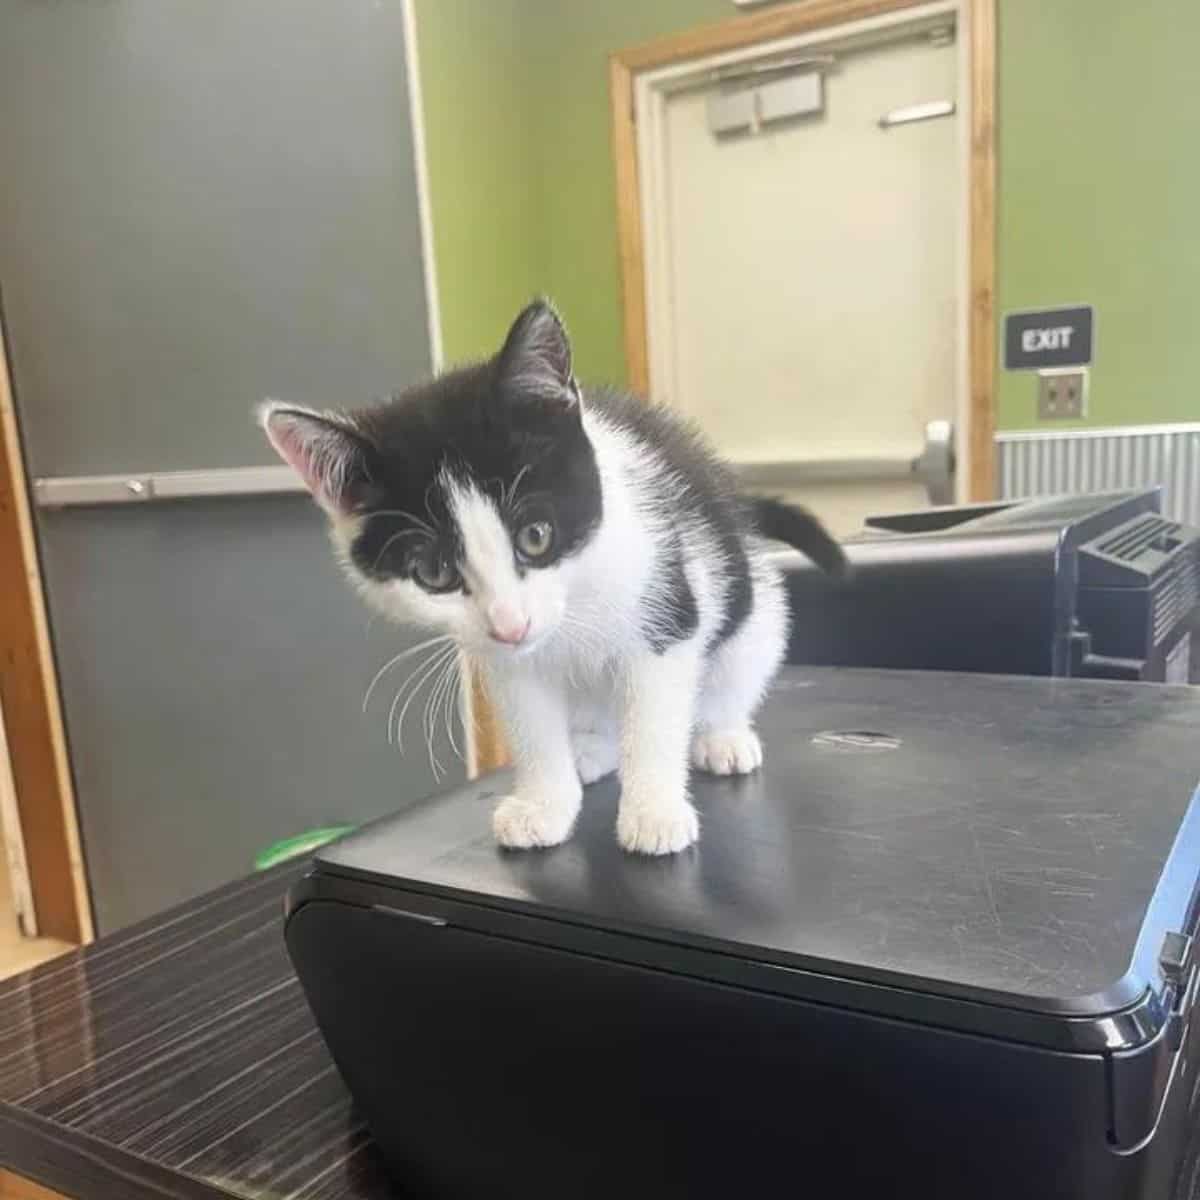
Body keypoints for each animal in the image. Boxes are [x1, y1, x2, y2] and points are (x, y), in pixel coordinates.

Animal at [262, 304, 844, 859]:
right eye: (434, 573)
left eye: (536, 536)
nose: (510, 623)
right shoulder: (504, 660)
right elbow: (532, 726)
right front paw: (544, 805)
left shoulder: (664, 603)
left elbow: (653, 716)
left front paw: (653, 811)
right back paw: (590, 749)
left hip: (752, 614)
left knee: (734, 671)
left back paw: (721, 736)